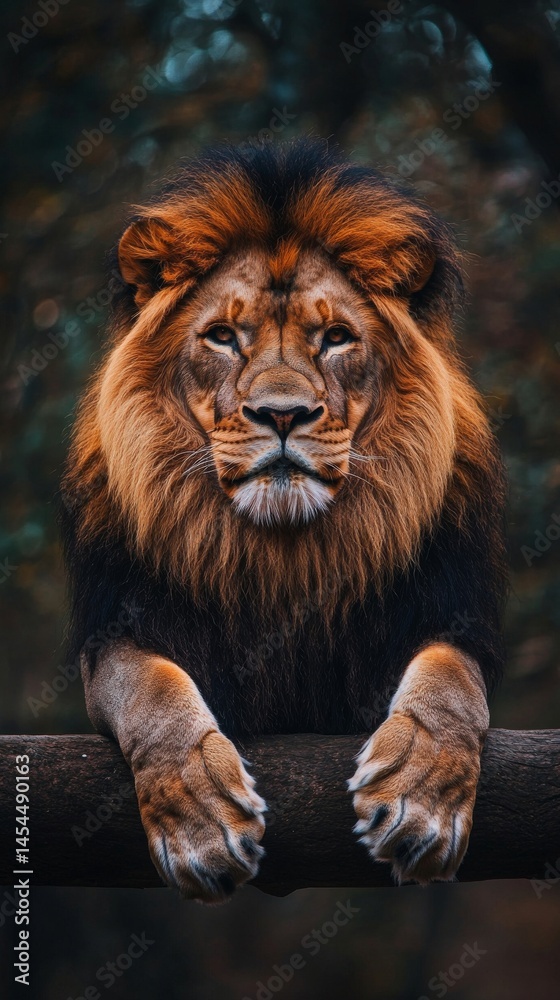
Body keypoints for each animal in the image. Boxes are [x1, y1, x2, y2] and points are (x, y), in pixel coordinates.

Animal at [61, 140, 507, 902]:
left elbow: (451, 686)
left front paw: (419, 800)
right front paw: (202, 822)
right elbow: (153, 692)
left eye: (335, 338)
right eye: (221, 337)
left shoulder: (453, 616)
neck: (283, 555)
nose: (282, 414)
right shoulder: (115, 631)